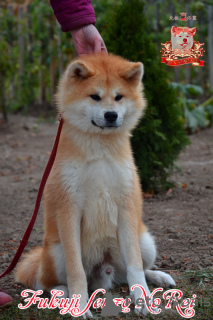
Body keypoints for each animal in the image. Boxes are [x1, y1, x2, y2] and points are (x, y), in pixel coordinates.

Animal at [15, 53, 176, 316]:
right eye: (95, 96)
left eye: (119, 97)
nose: (111, 115)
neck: (100, 149)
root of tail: (104, 272)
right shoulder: (69, 209)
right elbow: (76, 271)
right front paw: (80, 305)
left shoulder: (126, 205)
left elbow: (135, 267)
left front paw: (142, 298)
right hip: (56, 252)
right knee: (46, 282)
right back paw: (63, 294)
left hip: (146, 242)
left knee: (133, 270)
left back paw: (159, 277)